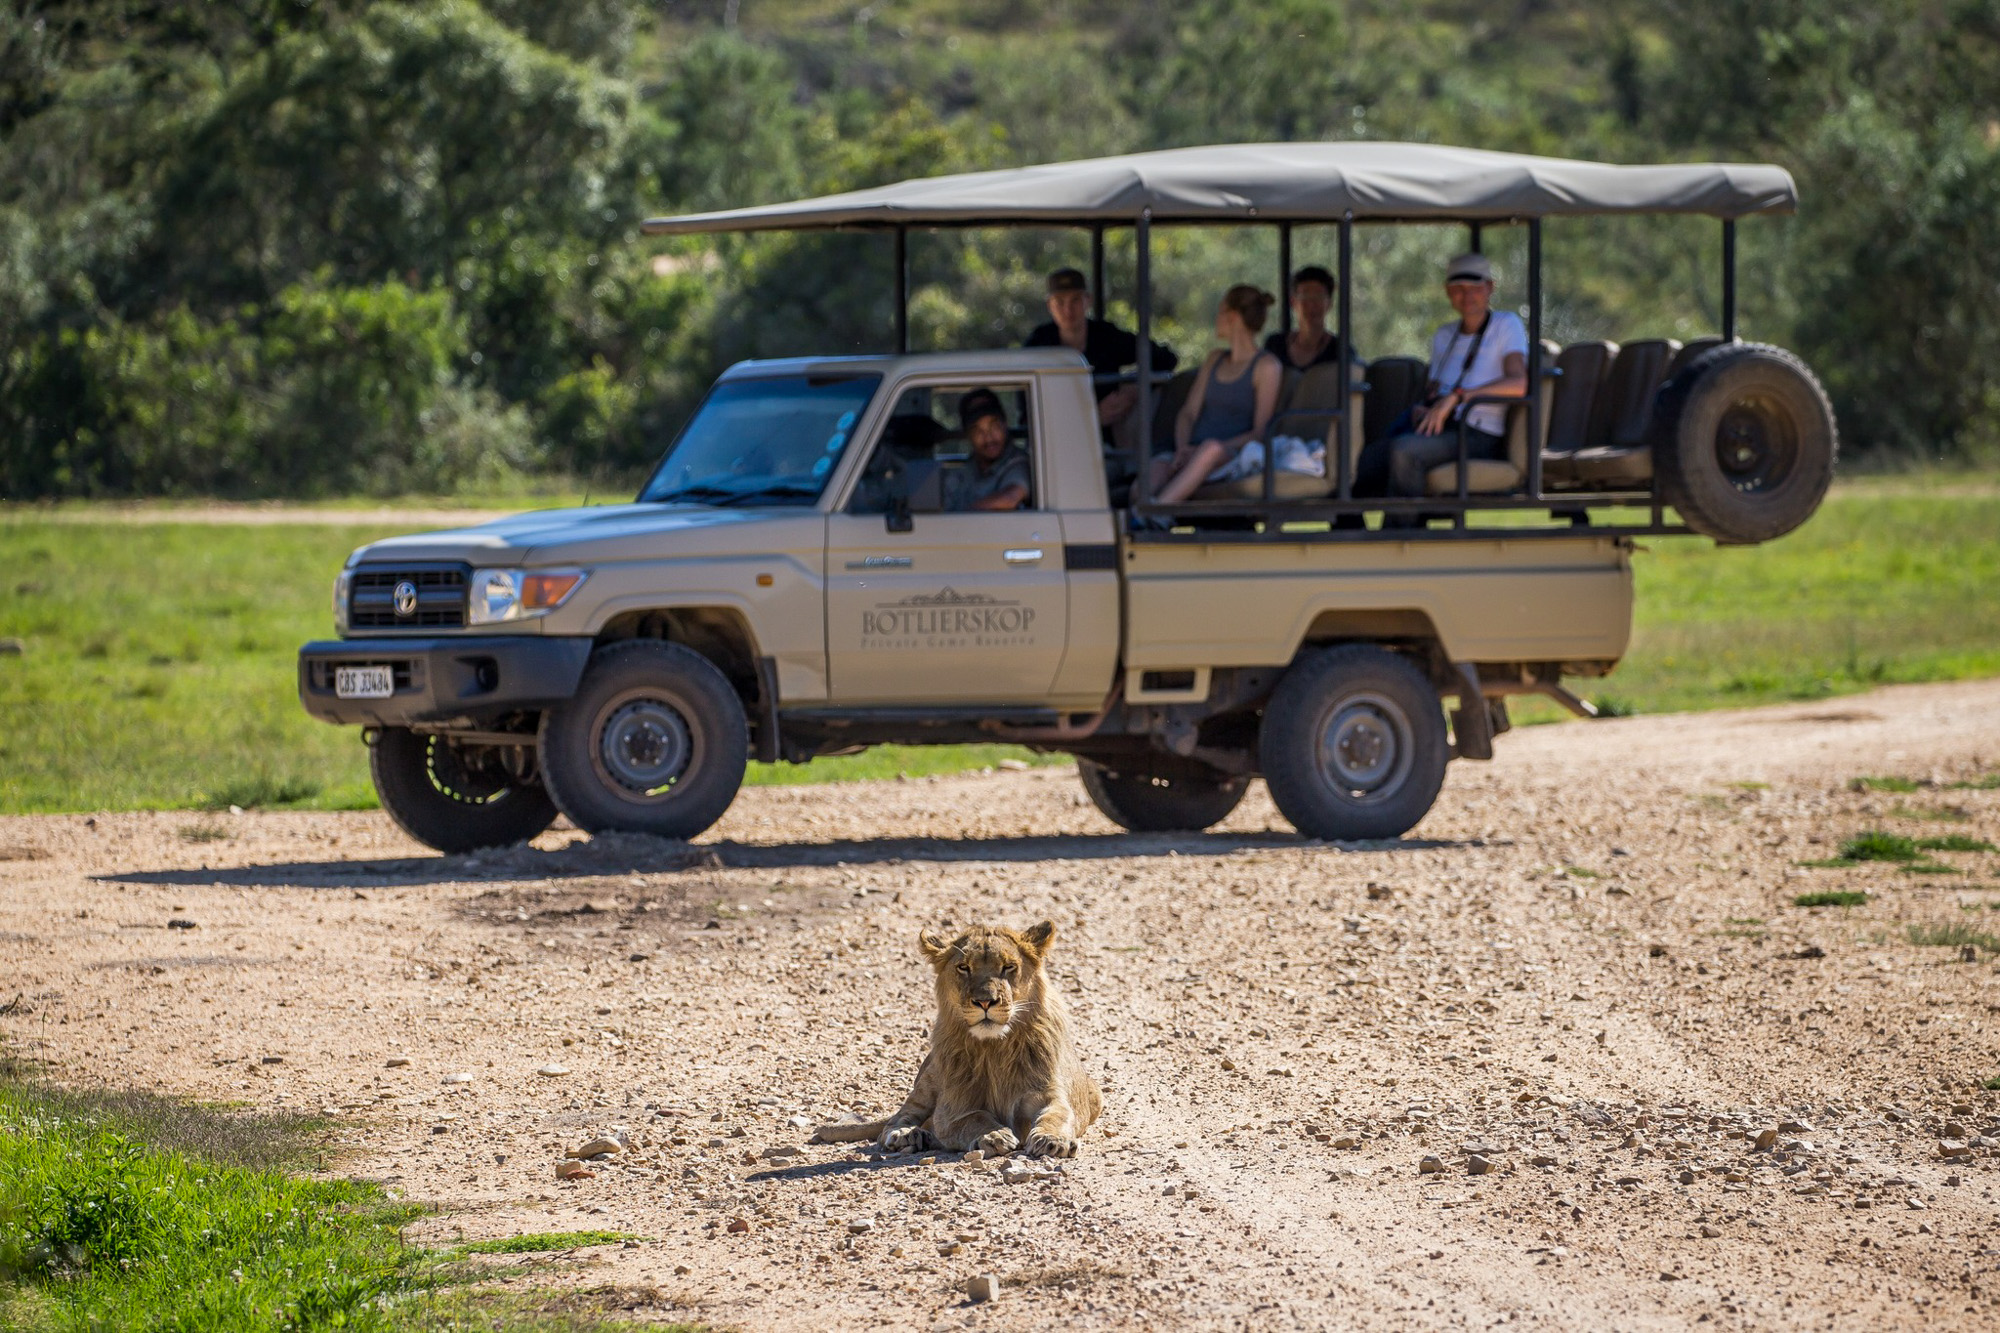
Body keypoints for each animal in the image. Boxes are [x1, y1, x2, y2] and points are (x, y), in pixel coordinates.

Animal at [804, 912, 1104, 1152]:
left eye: (1008, 967)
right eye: (964, 967)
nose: (985, 1001)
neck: (995, 1047)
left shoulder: (1048, 1094)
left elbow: (1056, 1115)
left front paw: (1052, 1140)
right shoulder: (952, 1111)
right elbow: (974, 1119)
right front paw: (994, 1135)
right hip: (927, 1079)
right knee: (895, 1120)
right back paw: (906, 1134)